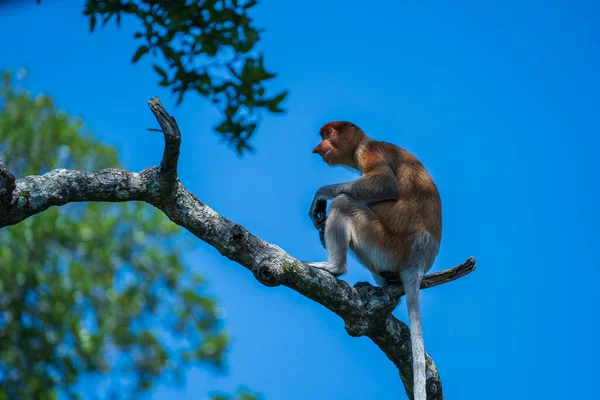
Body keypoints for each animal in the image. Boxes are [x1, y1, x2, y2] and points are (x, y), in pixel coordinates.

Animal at [304, 121, 440, 400]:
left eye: (328, 134)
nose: (317, 147)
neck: (364, 141)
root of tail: (419, 260)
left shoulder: (368, 151)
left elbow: (385, 184)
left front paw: (320, 197)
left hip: (386, 244)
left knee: (345, 202)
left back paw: (332, 267)